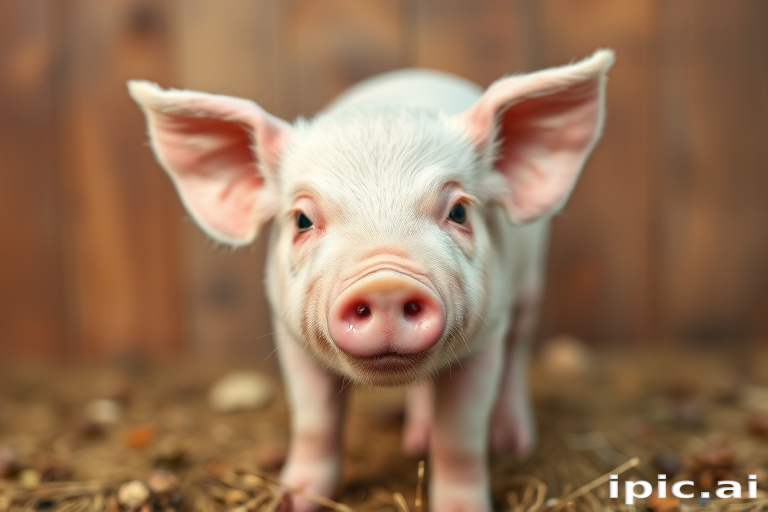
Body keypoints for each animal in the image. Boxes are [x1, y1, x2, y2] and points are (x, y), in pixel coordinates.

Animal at [128, 49, 614, 512]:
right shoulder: (290, 335)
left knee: (518, 352)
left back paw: (513, 442)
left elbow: (460, 439)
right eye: (302, 219)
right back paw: (416, 439)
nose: (385, 285)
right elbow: (315, 425)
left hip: (529, 288)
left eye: (459, 211)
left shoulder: (487, 335)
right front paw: (294, 500)